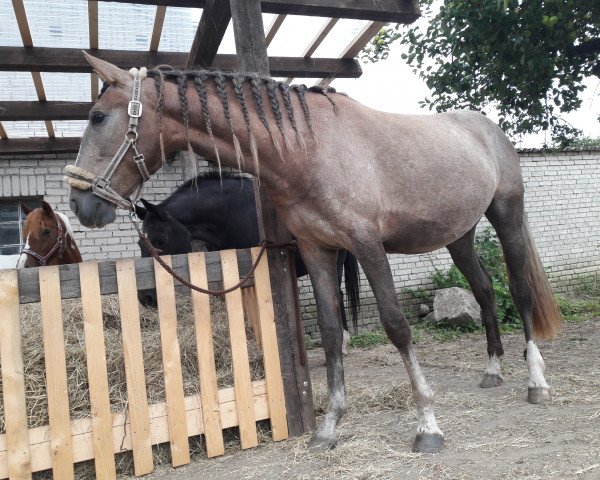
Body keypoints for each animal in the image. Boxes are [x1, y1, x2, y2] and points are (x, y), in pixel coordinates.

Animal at [67, 53, 564, 454]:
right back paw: (493, 369)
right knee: (484, 289)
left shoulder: (366, 245)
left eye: (97, 116)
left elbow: (396, 326)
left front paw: (428, 424)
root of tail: (488, 129)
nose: (79, 205)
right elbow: (327, 331)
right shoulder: (319, 249)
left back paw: (536, 381)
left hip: (507, 216)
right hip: (459, 235)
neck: (307, 151)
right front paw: (328, 427)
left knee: (518, 290)